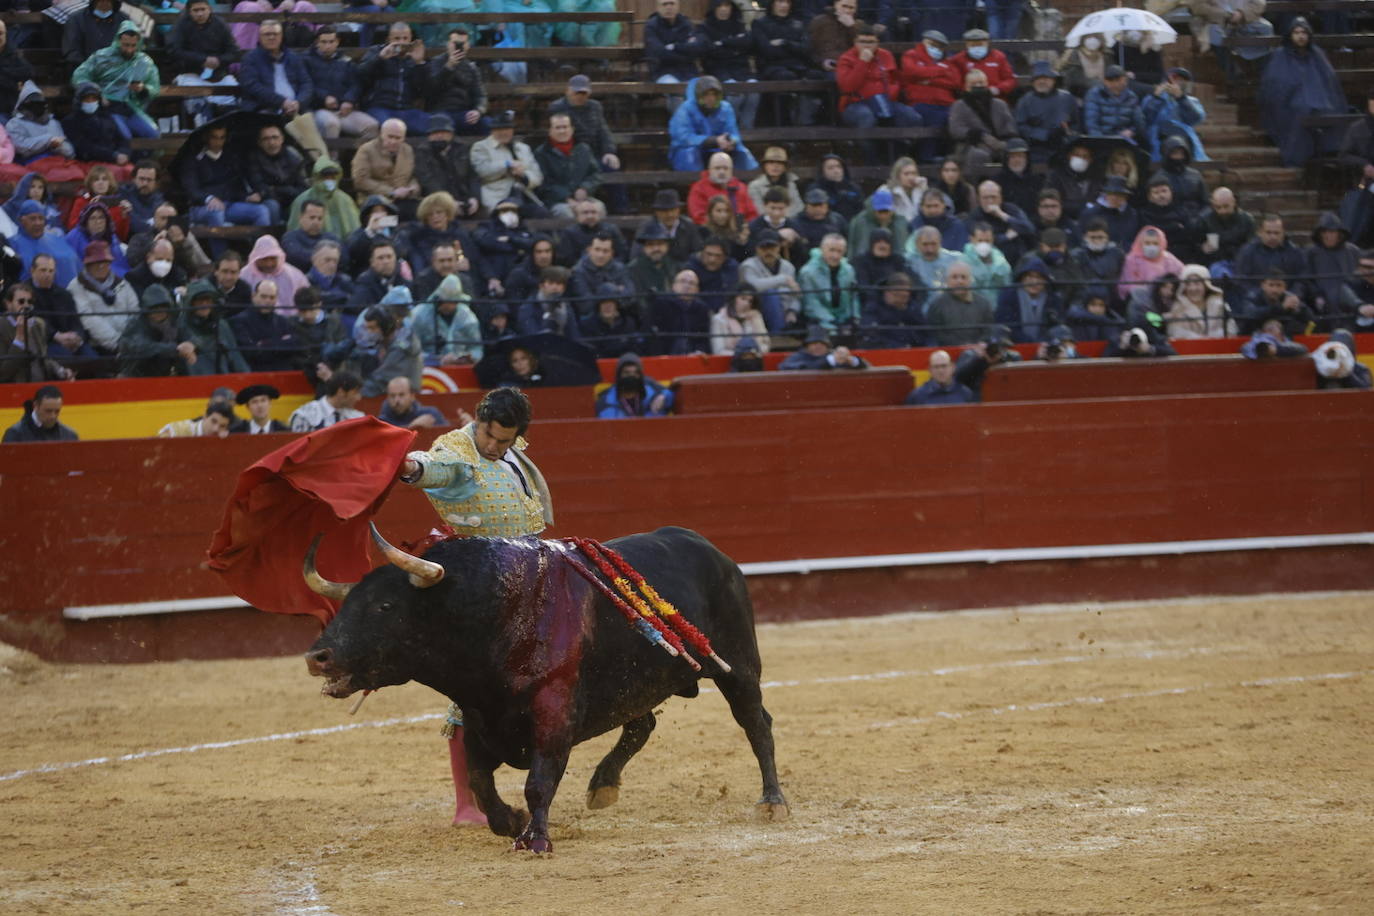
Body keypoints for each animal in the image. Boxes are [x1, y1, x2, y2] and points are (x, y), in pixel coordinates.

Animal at [305, 527, 791, 856]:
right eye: (346, 604)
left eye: (385, 605)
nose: (317, 656)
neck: (491, 612)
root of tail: (711, 549)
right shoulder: (480, 717)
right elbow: (479, 779)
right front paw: (510, 822)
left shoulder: (553, 714)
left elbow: (539, 781)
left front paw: (534, 839)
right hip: (632, 683)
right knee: (643, 724)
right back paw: (603, 784)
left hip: (738, 666)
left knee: (756, 724)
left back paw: (773, 802)